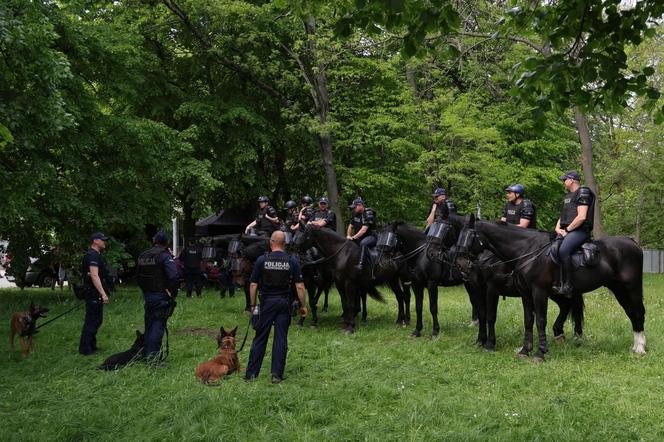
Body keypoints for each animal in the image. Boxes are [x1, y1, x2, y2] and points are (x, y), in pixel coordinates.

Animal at [454, 216, 644, 360]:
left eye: (469, 236)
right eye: (459, 235)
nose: (461, 264)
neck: (526, 251)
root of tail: (633, 243)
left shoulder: (535, 292)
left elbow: (539, 320)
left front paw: (539, 353)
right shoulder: (525, 294)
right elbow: (528, 320)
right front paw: (524, 350)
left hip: (631, 287)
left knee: (638, 312)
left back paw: (641, 348)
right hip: (617, 289)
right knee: (630, 312)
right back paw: (635, 346)